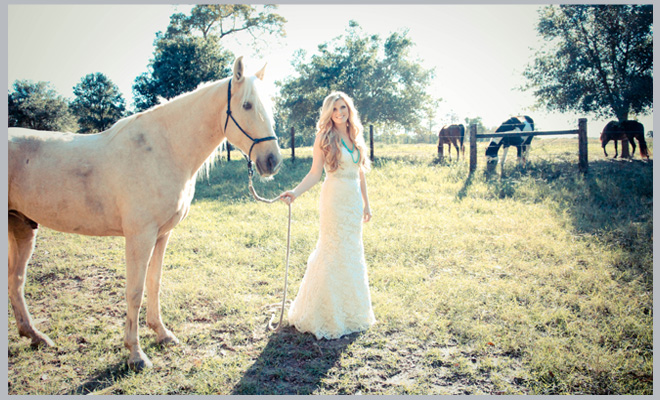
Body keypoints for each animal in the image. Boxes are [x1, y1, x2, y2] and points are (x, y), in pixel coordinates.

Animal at [8, 55, 282, 368]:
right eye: (247, 105)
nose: (272, 161)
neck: (163, 149)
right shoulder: (140, 237)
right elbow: (135, 291)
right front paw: (136, 354)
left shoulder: (161, 235)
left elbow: (154, 283)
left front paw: (162, 333)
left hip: (22, 227)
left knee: (16, 281)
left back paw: (35, 336)